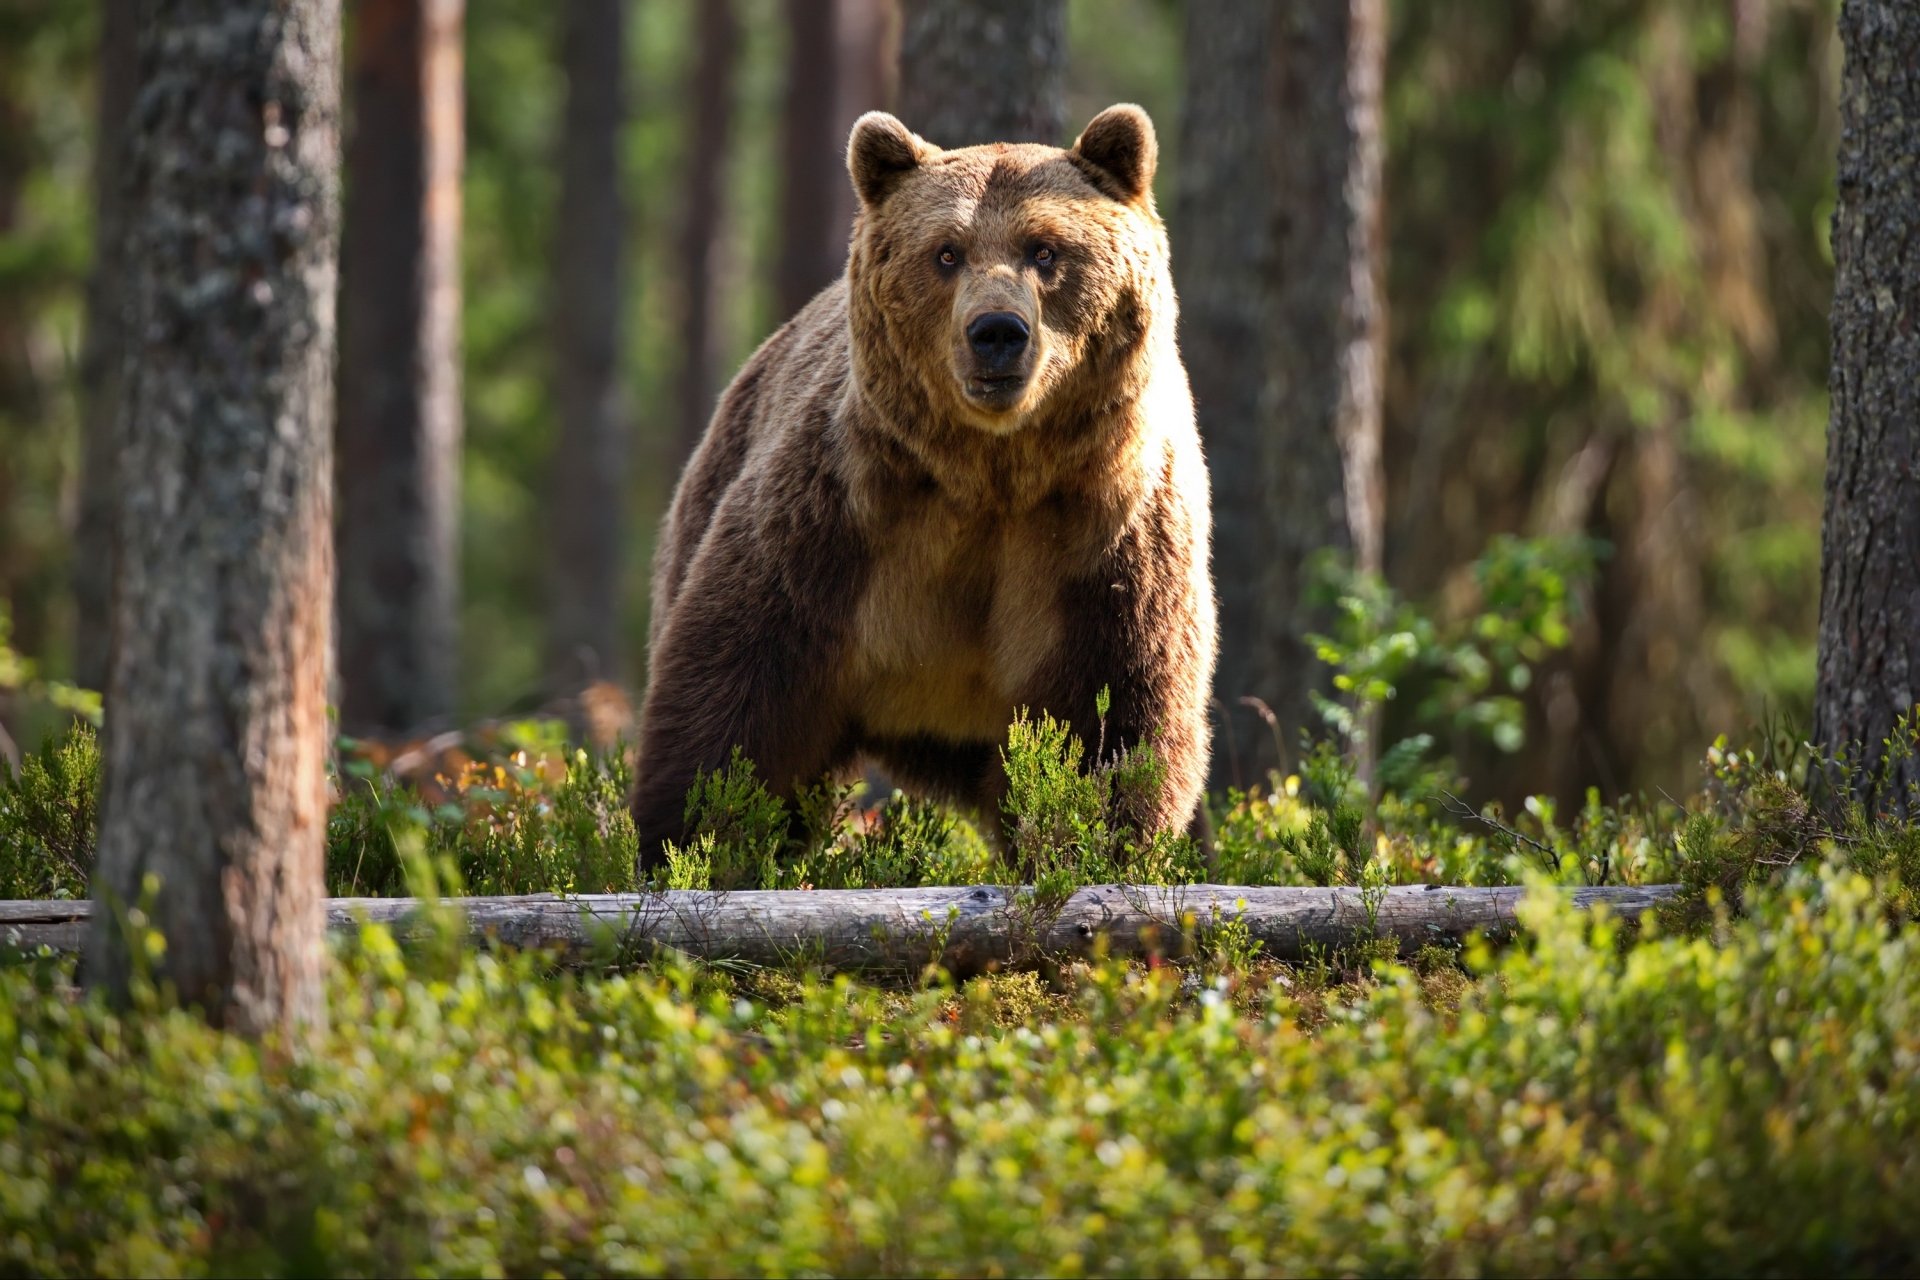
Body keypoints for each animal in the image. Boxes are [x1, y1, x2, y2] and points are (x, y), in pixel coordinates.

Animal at [632, 103, 1217, 868]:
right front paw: (691, 842)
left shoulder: (1104, 543)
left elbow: (1116, 724)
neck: (991, 474)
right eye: (946, 252)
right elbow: (736, 701)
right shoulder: (839, 520)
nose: (996, 332)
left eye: (1045, 250)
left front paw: (1101, 849)